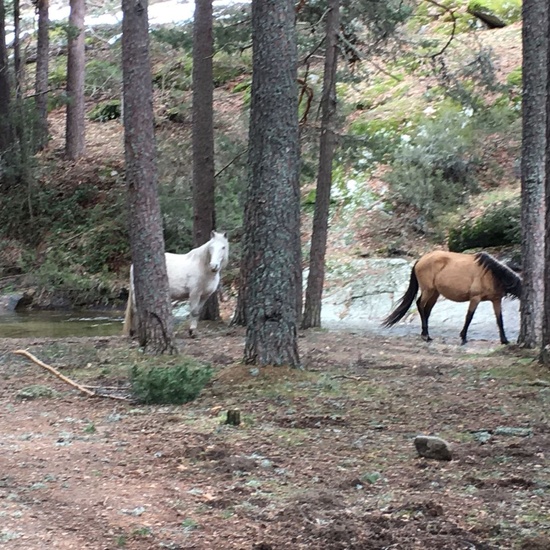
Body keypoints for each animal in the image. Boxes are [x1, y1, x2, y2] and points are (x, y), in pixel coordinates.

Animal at [382, 253, 524, 348]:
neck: (491, 274)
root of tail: (420, 260)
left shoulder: (496, 300)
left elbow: (499, 320)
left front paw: (504, 340)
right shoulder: (475, 298)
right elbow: (469, 317)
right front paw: (463, 338)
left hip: (435, 293)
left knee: (427, 310)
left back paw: (427, 335)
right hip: (428, 291)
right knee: (420, 305)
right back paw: (425, 336)